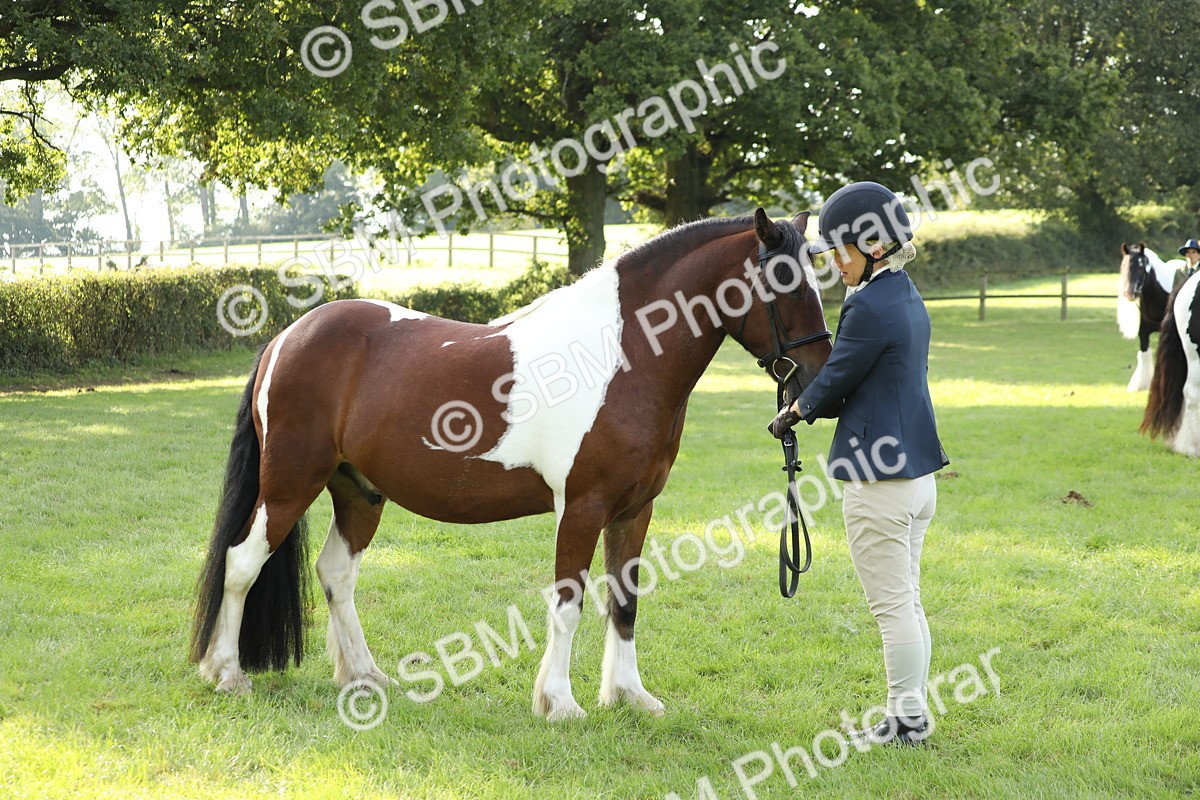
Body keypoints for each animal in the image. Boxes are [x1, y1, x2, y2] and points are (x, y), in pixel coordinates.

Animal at [189, 209, 833, 720]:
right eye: (785, 284)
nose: (815, 381)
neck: (621, 356)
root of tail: (284, 339)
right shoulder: (582, 507)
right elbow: (569, 603)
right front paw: (561, 704)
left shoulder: (635, 510)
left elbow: (625, 600)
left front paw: (629, 697)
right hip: (290, 483)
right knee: (241, 562)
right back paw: (228, 674)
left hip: (358, 493)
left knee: (336, 574)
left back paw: (366, 676)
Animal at [1118, 242, 1184, 391]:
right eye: (1124, 266)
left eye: (1142, 267)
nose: (1131, 293)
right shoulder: (1143, 332)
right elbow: (1144, 354)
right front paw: (1140, 385)